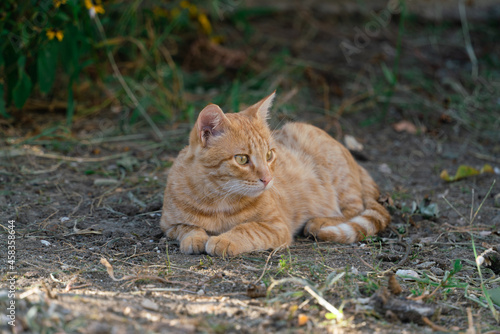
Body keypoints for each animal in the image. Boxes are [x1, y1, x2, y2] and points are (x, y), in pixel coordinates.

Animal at [160, 92, 390, 258]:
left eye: (269, 155)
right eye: (242, 159)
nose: (268, 179)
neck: (218, 200)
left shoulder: (277, 226)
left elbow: (247, 228)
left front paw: (224, 239)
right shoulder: (168, 224)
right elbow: (187, 227)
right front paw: (194, 238)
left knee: (353, 209)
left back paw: (319, 222)